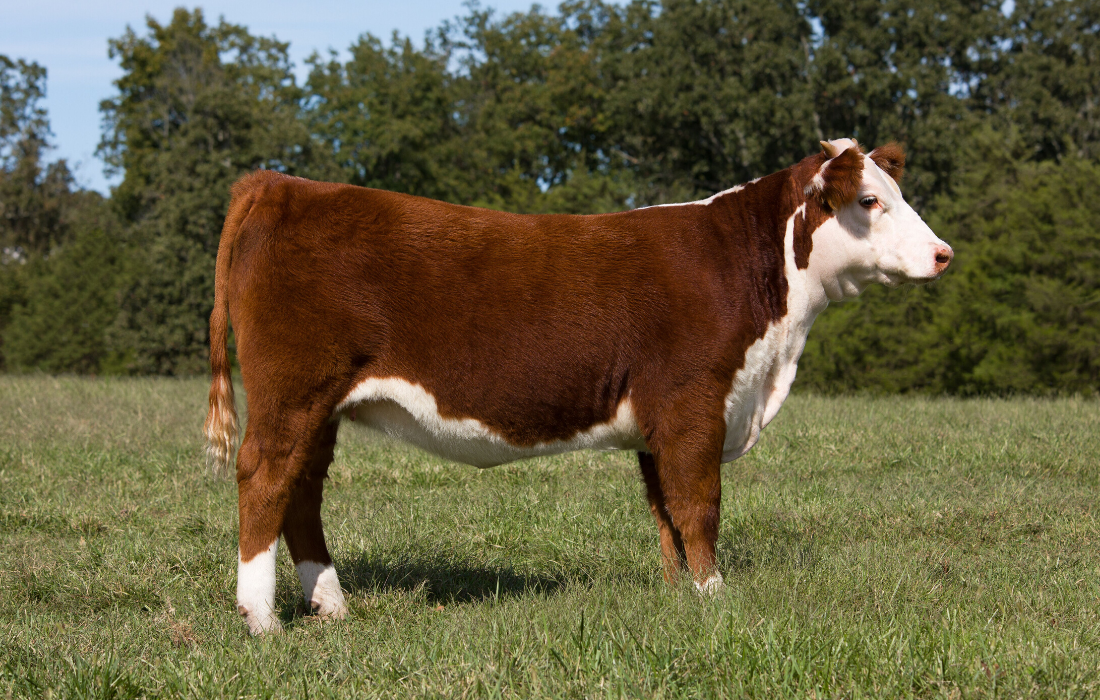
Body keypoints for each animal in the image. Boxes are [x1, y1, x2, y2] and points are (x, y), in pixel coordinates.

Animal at [204, 138, 952, 634]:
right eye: (869, 201)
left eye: (899, 194)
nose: (943, 253)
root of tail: (279, 184)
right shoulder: (695, 403)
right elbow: (699, 504)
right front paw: (715, 595)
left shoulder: (659, 422)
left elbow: (665, 511)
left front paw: (678, 594)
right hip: (292, 391)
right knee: (265, 477)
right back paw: (262, 619)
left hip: (320, 405)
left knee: (302, 491)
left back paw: (331, 605)